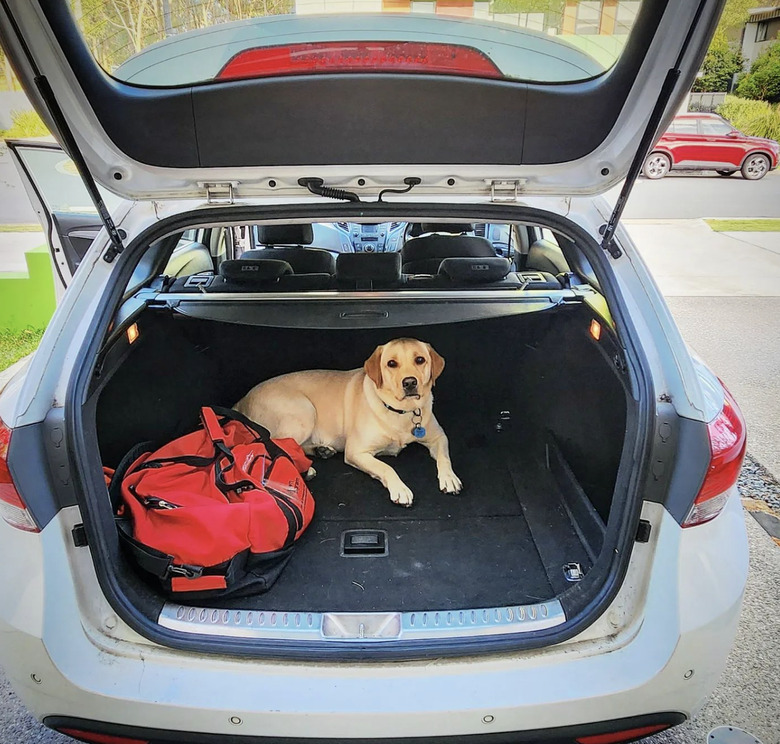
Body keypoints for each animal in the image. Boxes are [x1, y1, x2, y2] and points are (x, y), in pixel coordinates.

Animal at [235, 338, 460, 506]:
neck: (401, 412)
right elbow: (386, 467)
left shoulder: (439, 437)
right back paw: (306, 469)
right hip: (304, 412)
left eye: (420, 360)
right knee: (277, 444)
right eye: (391, 363)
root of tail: (242, 399)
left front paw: (449, 478)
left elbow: (445, 457)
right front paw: (400, 488)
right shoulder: (356, 452)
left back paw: (321, 450)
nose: (410, 382)